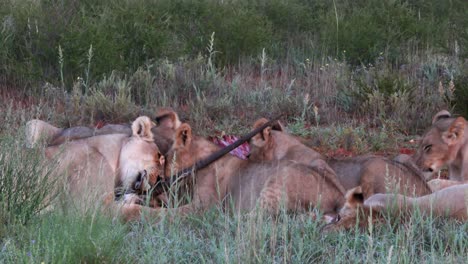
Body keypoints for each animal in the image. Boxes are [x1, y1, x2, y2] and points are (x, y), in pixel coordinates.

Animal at [118, 122, 344, 222]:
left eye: (165, 157)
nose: (160, 179)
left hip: (274, 185)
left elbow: (161, 214)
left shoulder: (202, 207)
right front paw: (137, 199)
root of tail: (338, 196)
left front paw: (129, 209)